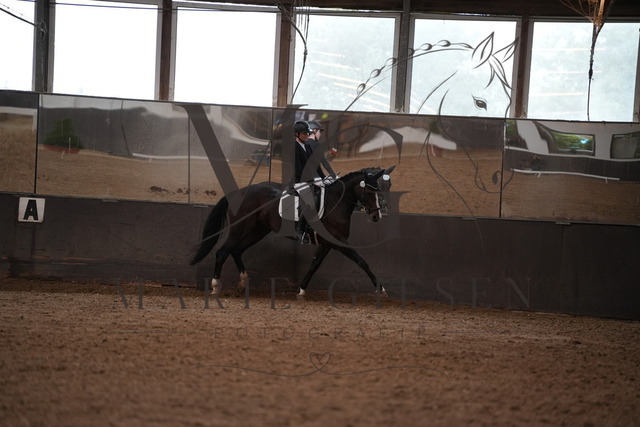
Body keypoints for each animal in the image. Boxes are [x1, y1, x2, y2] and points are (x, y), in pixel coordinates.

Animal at [190, 166, 396, 298]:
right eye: (369, 192)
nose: (377, 216)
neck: (336, 202)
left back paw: (242, 283)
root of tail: (239, 192)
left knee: (236, 251)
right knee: (222, 252)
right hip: (240, 229)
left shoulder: (327, 243)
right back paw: (215, 287)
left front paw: (301, 290)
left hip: (257, 231)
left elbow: (314, 264)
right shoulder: (338, 241)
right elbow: (362, 262)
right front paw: (381, 289)